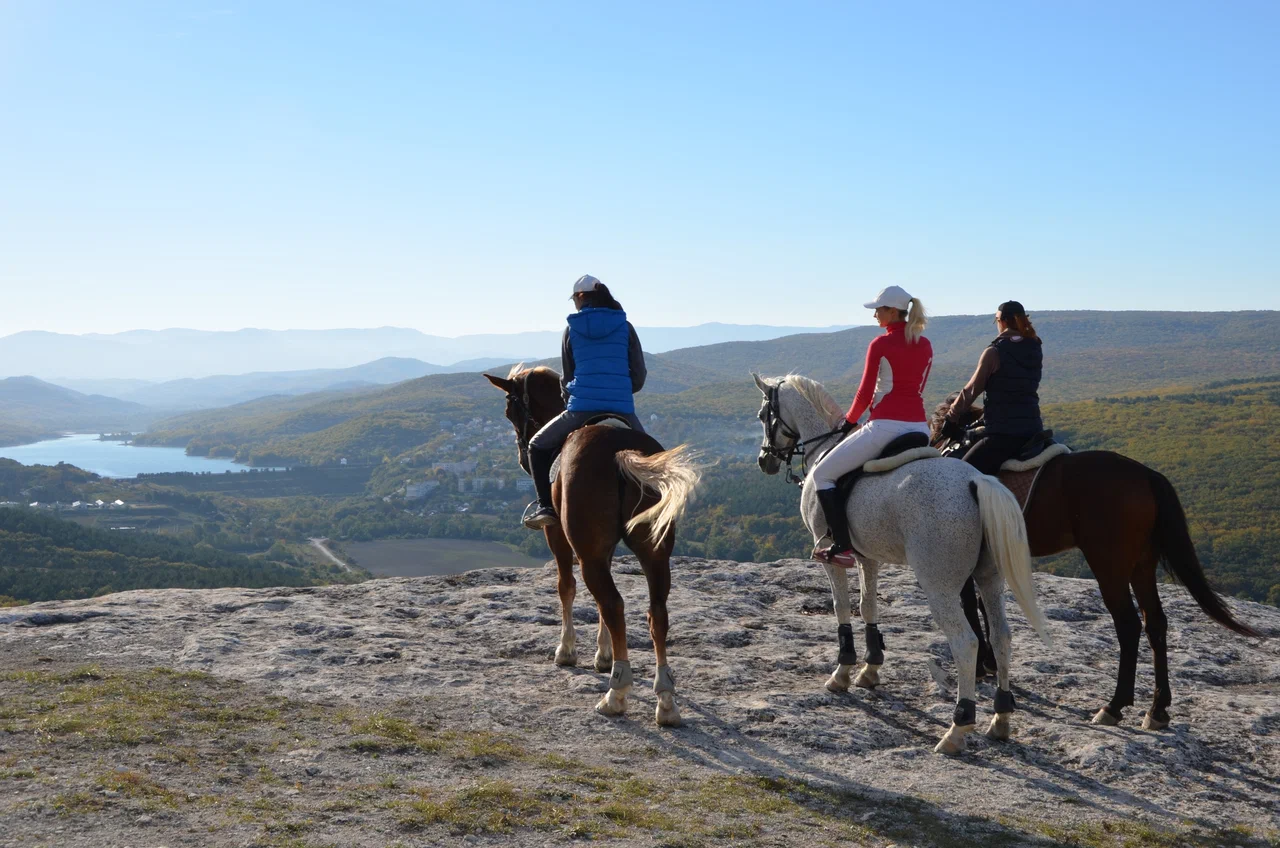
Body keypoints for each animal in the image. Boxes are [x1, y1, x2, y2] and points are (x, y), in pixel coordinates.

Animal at [484, 365, 702, 726]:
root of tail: (621, 452)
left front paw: (567, 651)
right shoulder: (605, 549)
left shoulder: (559, 536)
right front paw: (604, 654)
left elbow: (567, 587)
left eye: (509, 409)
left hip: (588, 553)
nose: (522, 458)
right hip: (655, 551)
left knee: (613, 603)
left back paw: (616, 693)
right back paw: (666, 700)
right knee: (655, 612)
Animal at [751, 373, 1053, 754]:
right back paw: (1000, 719)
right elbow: (868, 606)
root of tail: (976, 481)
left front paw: (843, 672)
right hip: (989, 579)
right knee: (1001, 637)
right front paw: (870, 669)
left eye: (764, 414)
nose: (764, 461)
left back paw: (958, 727)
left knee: (966, 643)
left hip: (939, 587)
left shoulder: (832, 558)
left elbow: (842, 608)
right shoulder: (868, 558)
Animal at [931, 393, 1260, 729]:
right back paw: (1157, 710)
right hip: (1142, 564)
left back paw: (1114, 706)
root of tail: (1147, 475)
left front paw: (981, 665)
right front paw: (990, 662)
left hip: (1108, 565)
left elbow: (970, 605)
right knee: (1156, 622)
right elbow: (984, 606)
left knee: (1128, 625)